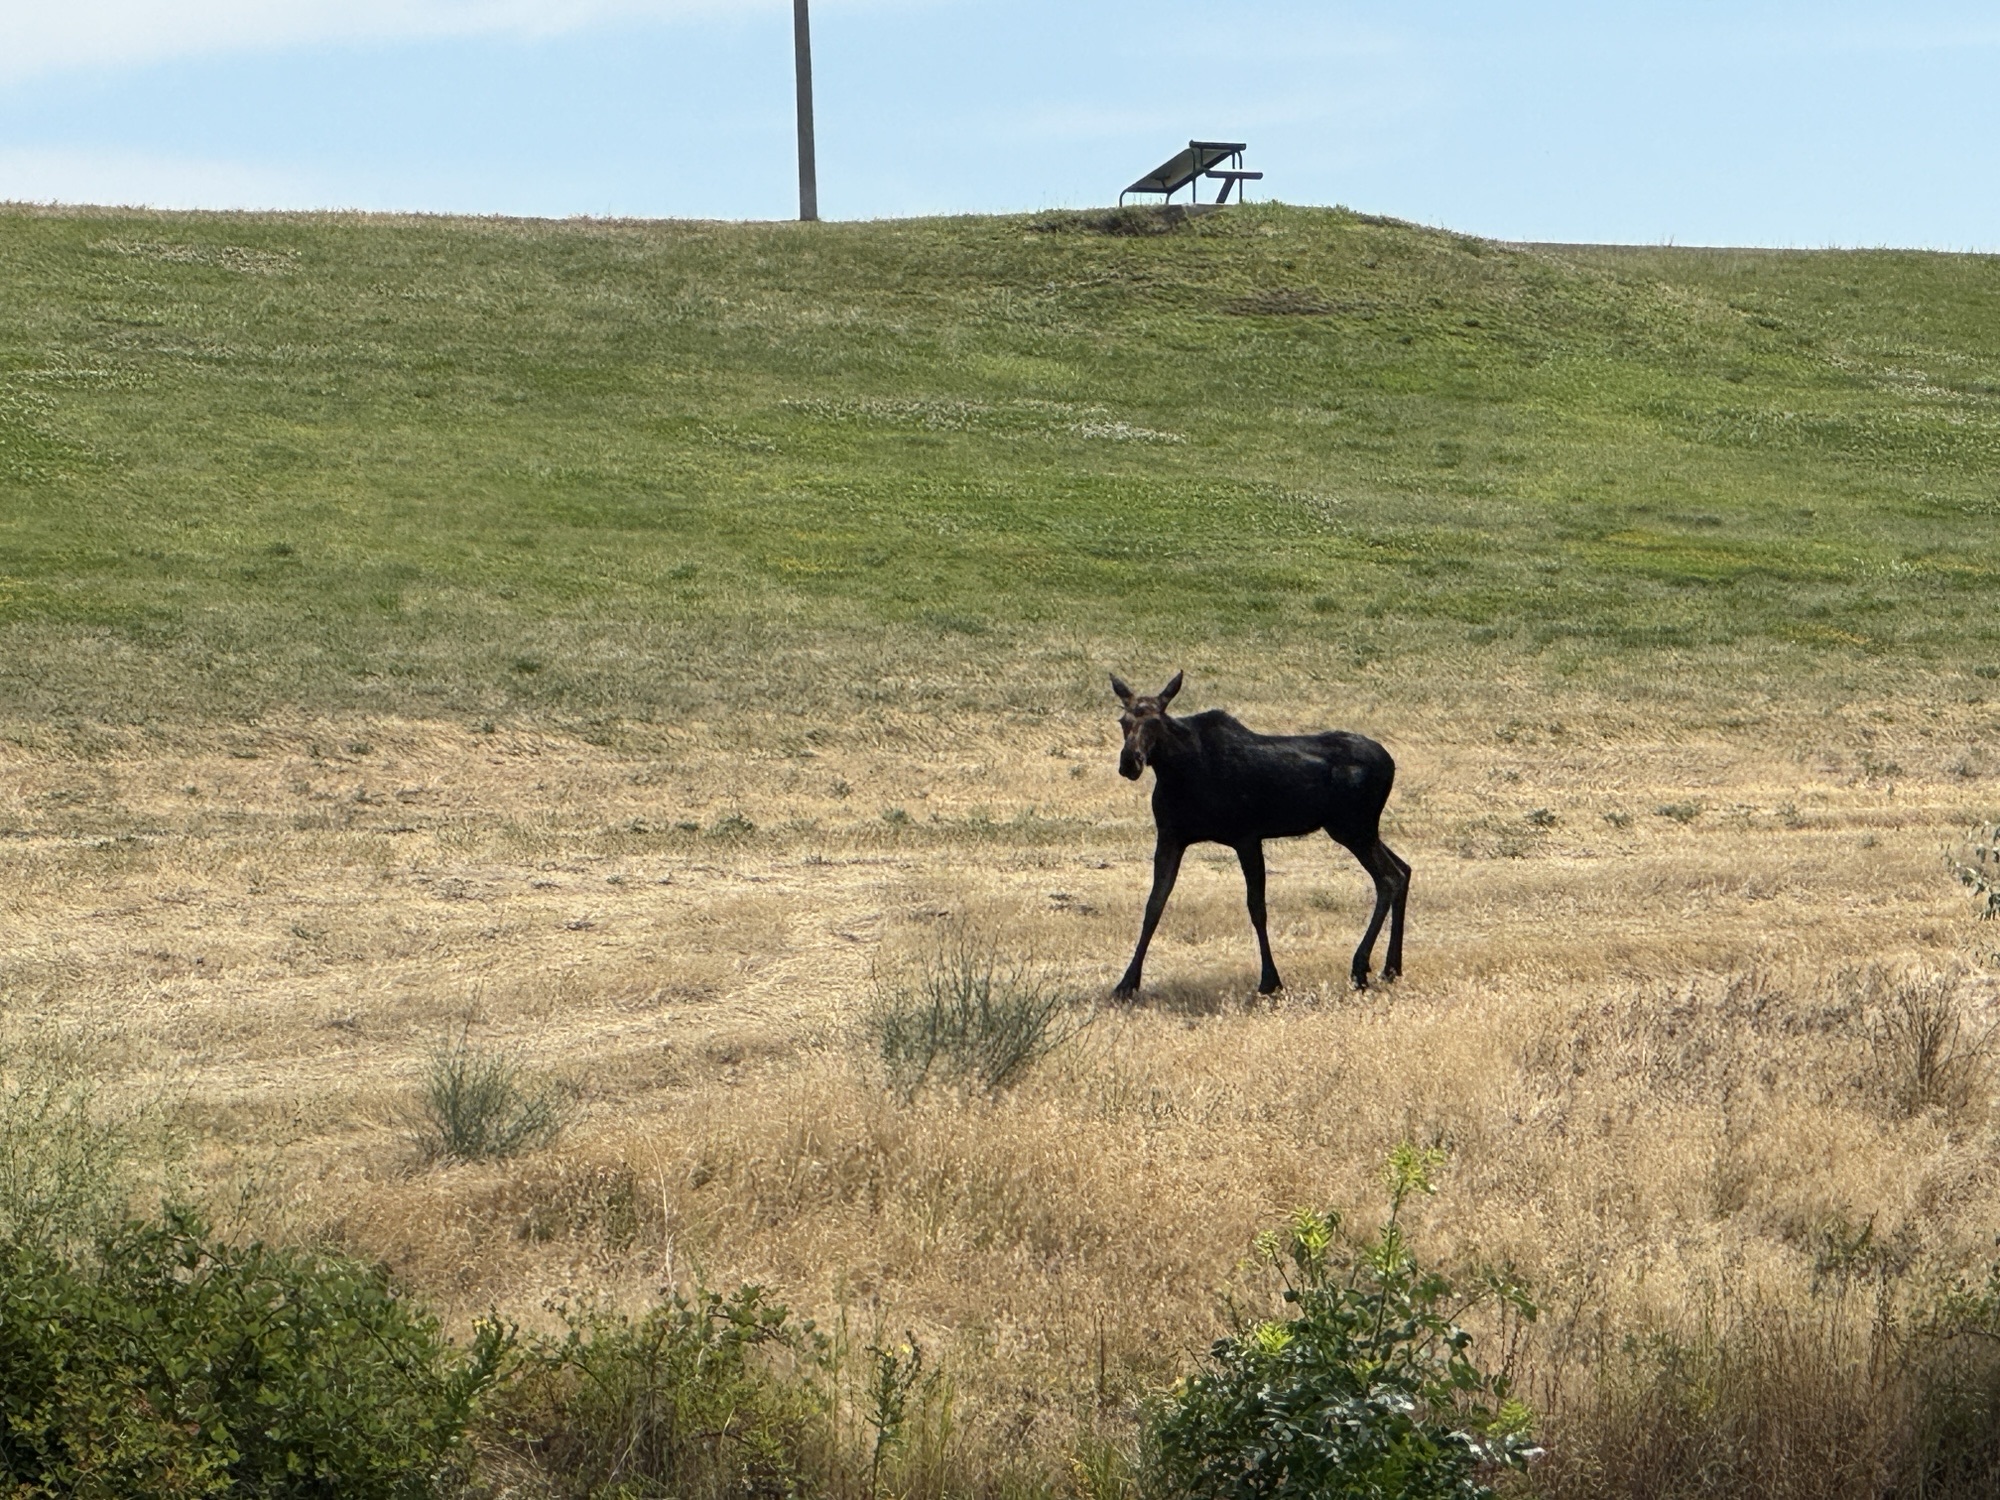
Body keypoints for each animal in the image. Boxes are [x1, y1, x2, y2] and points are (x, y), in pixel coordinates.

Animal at [1109, 671, 1408, 996]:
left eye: (1155, 721)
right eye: (1123, 721)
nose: (1130, 761)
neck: (1178, 773)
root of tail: (1391, 763)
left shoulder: (1247, 837)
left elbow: (1257, 907)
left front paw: (1270, 980)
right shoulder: (1170, 836)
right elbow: (1154, 904)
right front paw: (1126, 983)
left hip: (1354, 829)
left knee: (1389, 878)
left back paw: (1360, 967)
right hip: (1359, 829)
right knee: (1404, 869)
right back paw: (1391, 968)